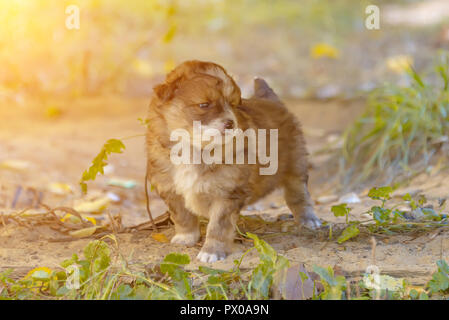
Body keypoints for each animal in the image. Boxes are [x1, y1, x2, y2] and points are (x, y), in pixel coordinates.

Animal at [145, 60, 320, 262]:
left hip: (295, 163)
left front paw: (211, 252)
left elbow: (218, 226)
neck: (196, 148)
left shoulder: (227, 193)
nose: (230, 123)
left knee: (299, 194)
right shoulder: (170, 188)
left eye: (231, 104)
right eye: (204, 104)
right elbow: (182, 215)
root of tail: (271, 101)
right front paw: (185, 237)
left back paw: (309, 220)